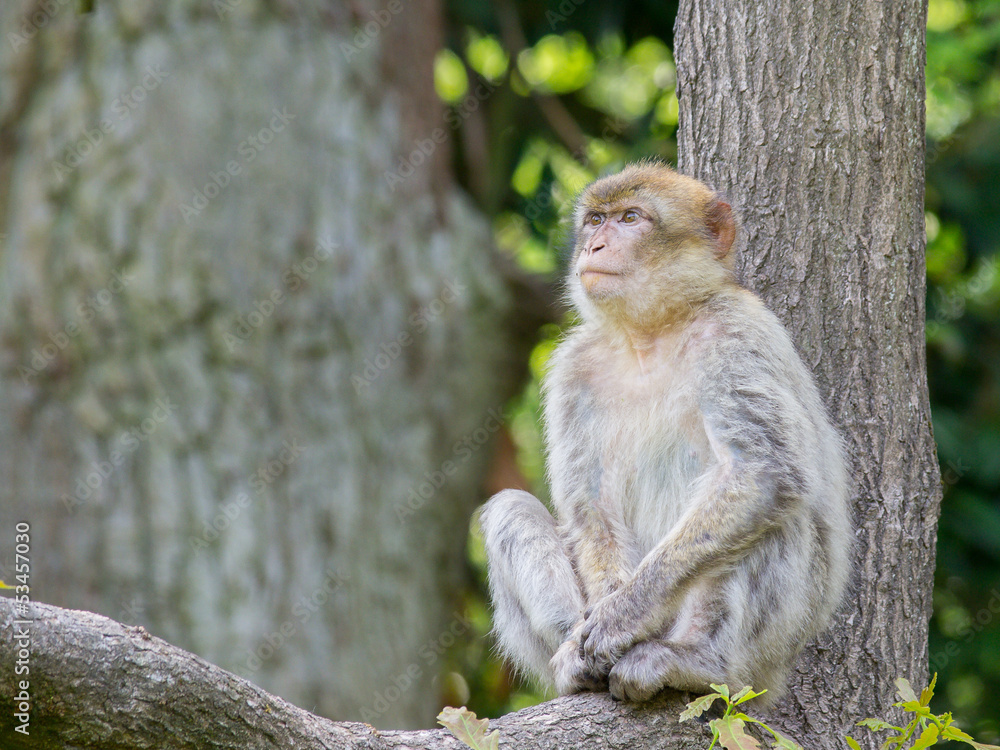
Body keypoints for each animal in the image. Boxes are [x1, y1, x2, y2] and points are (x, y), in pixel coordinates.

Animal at [478, 161, 851, 707]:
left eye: (632, 218)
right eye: (595, 220)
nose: (595, 246)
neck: (650, 334)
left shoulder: (734, 335)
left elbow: (762, 472)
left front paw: (621, 616)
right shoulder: (574, 367)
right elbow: (591, 504)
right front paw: (604, 614)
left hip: (774, 648)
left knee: (772, 511)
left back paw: (696, 660)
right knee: (511, 510)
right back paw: (573, 662)